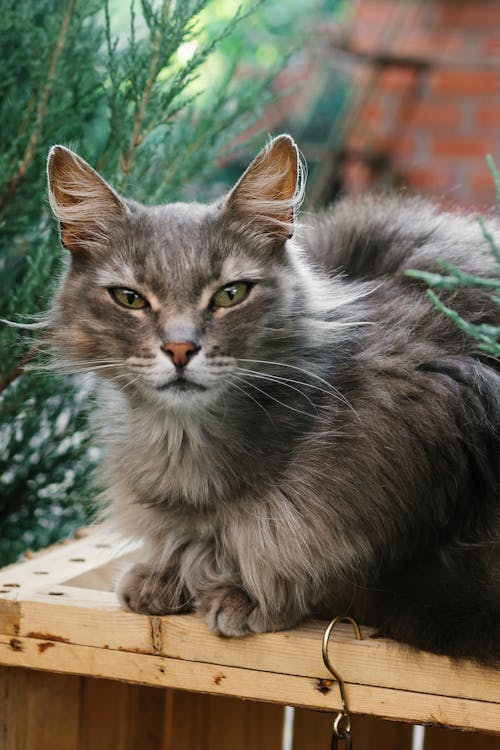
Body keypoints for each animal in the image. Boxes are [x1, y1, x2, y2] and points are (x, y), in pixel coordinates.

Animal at [46, 137, 500, 664]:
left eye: (230, 294)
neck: (187, 444)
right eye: (130, 299)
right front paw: (169, 573)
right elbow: (189, 537)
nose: (179, 349)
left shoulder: (428, 423)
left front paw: (247, 592)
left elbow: (309, 554)